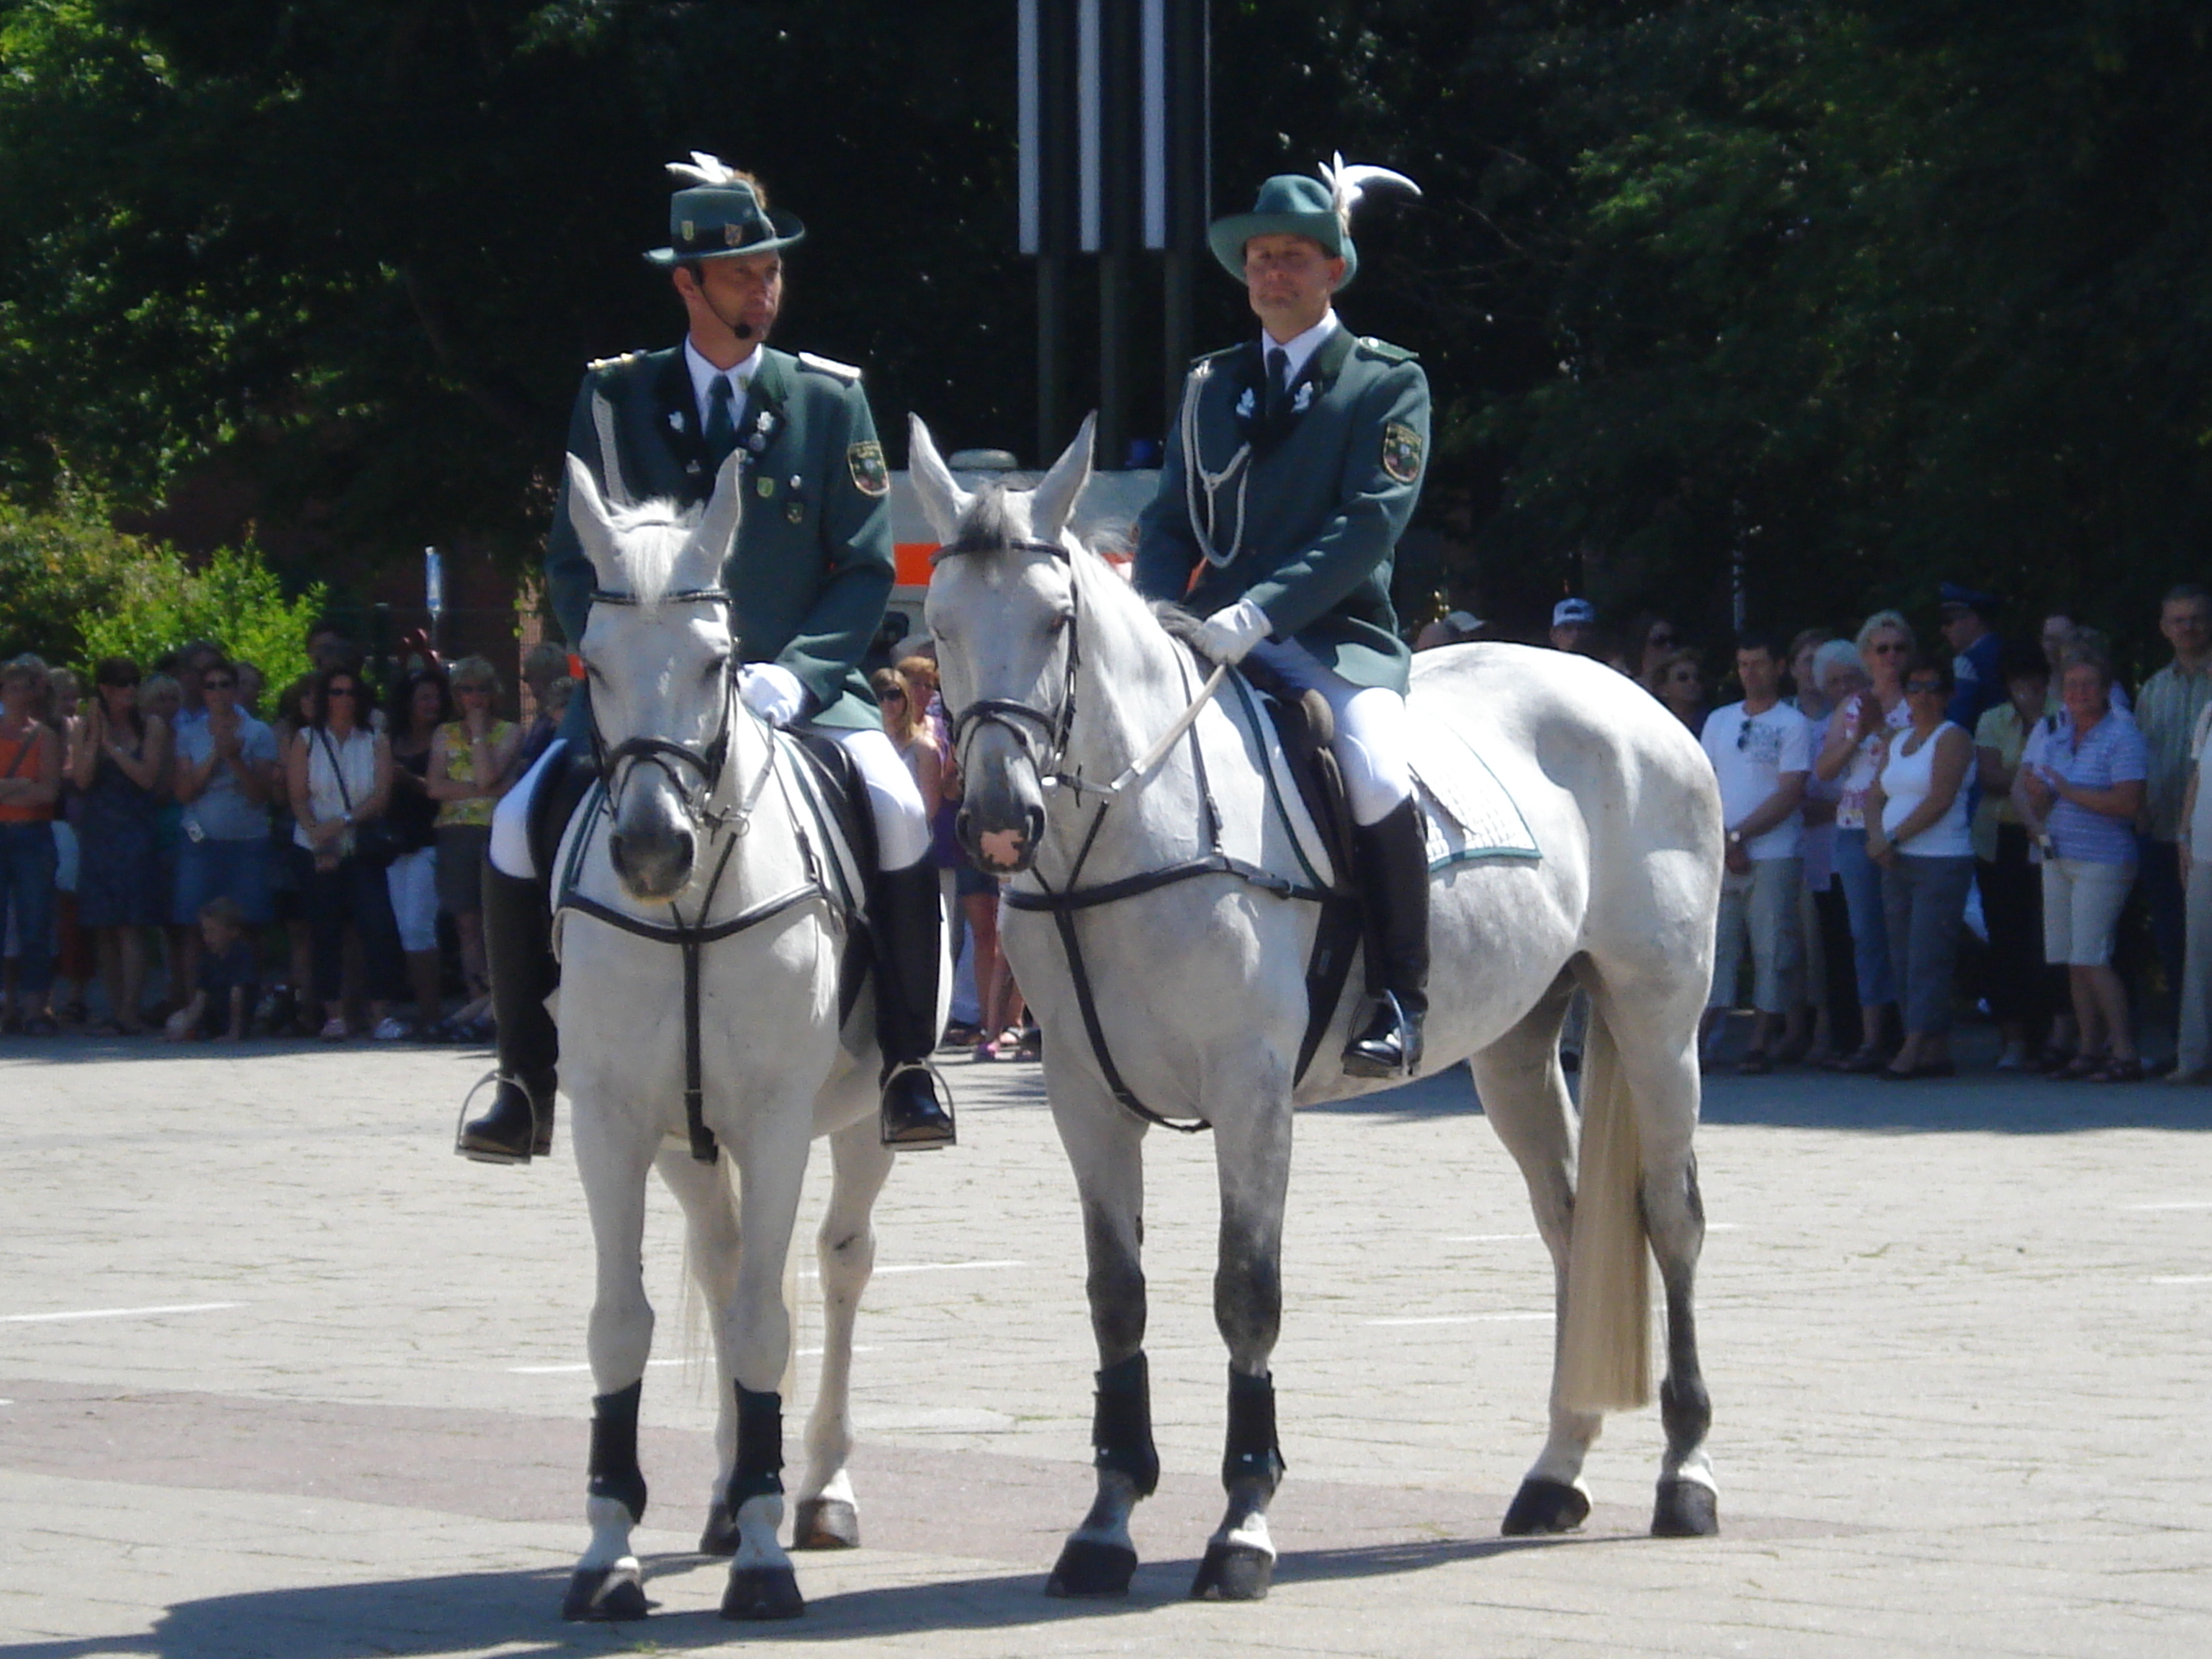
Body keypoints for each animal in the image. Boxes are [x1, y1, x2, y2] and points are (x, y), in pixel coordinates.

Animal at [548, 451, 902, 1627]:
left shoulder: (779, 1122)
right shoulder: (611, 1124)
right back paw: (721, 1492)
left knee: (837, 1268)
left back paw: (820, 1487)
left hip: (863, 1128)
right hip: (684, 1148)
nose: (652, 849)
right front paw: (607, 1551)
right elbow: (624, 1321)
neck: (689, 911)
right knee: (722, 1260)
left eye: (719, 662)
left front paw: (762, 1552)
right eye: (592, 662)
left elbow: (763, 1324)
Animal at [911, 418, 1725, 1610]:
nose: (1000, 817)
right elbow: (1119, 1300)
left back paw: (1687, 1475)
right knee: (1573, 1228)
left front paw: (1242, 1525)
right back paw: (1555, 1473)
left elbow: (1247, 1292)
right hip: (1515, 1051)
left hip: (1660, 1023)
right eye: (939, 624)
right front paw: (1105, 1526)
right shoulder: (1083, 1097)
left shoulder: (1251, 1092)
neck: (1133, 833)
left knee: (1669, 1220)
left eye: (1058, 621)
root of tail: (1636, 701)